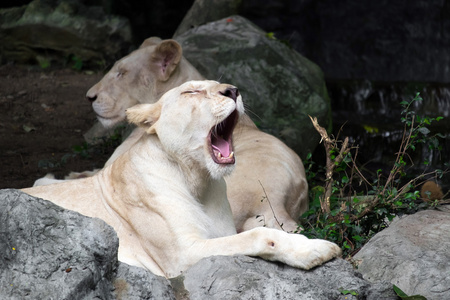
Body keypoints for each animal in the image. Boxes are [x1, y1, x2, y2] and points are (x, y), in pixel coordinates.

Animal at [22, 80, 340, 278]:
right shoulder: (181, 257)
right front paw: (317, 249)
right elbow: (260, 235)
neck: (198, 181)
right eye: (192, 92)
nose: (233, 90)